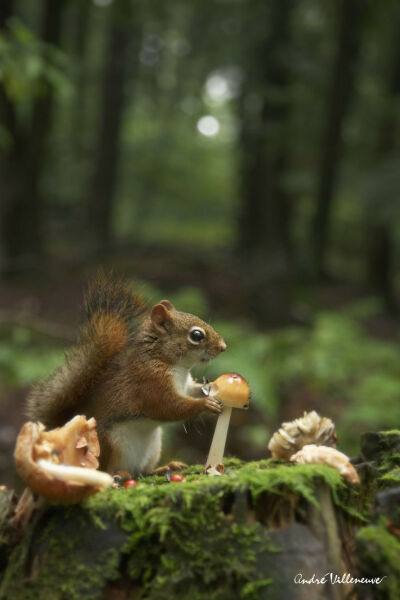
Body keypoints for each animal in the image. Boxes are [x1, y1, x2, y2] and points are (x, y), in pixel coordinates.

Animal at [26, 274, 227, 476]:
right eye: (196, 335)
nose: (223, 347)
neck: (173, 364)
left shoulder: (185, 385)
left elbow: (192, 390)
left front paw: (210, 387)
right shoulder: (149, 382)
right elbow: (168, 406)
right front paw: (205, 404)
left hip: (154, 447)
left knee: (145, 470)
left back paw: (165, 467)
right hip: (108, 444)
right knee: (104, 470)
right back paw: (120, 474)